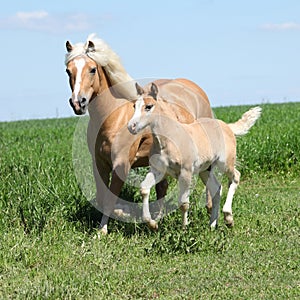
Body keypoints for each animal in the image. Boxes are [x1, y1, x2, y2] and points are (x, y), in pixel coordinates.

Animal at [65, 33, 214, 234]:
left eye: (92, 69)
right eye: (68, 71)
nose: (78, 103)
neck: (112, 116)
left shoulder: (121, 164)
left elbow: (110, 199)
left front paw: (105, 229)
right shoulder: (100, 164)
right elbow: (102, 198)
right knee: (162, 187)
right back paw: (157, 219)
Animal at [127, 82, 262, 230]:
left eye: (148, 106)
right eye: (134, 106)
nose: (131, 126)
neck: (169, 139)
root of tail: (227, 126)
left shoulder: (186, 172)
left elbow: (183, 203)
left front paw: (184, 229)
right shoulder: (158, 170)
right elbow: (144, 189)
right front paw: (152, 224)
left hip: (225, 163)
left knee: (235, 177)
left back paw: (228, 218)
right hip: (205, 170)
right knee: (216, 189)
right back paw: (212, 225)